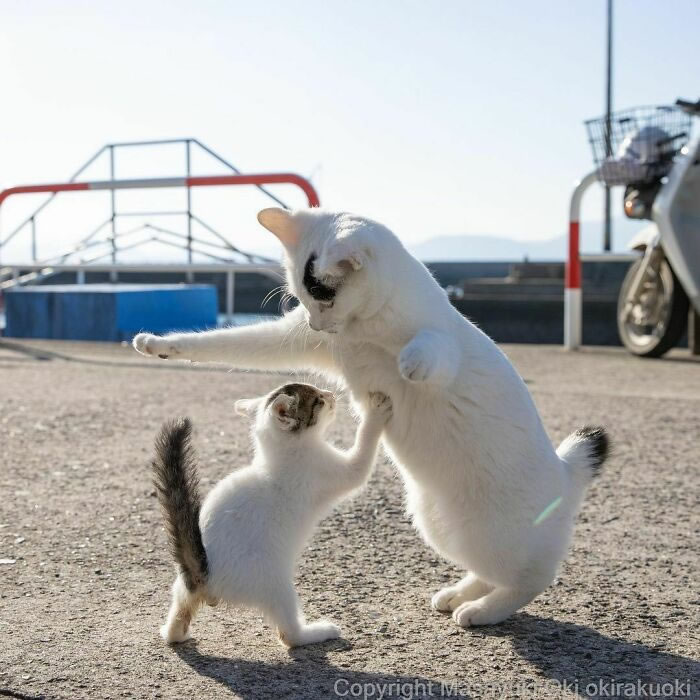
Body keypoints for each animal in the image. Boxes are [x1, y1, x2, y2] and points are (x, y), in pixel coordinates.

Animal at [152, 382, 392, 644]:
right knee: (289, 635)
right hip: (276, 585)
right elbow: (362, 458)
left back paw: (175, 632)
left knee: (178, 615)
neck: (282, 454)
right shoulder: (331, 469)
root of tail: (204, 571)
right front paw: (376, 412)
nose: (331, 394)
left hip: (183, 587)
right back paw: (318, 632)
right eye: (318, 400)